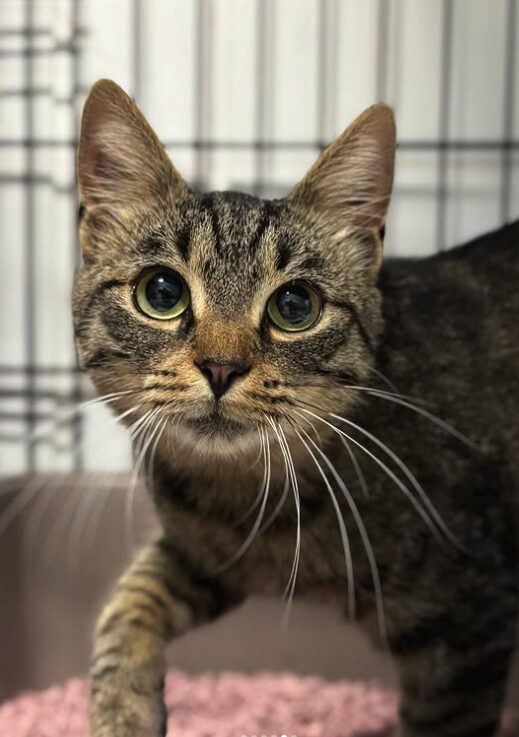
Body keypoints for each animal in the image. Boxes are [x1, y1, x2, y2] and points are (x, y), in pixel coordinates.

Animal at [75, 77, 516, 732]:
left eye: (295, 307)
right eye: (161, 292)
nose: (221, 366)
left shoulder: (467, 633)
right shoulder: (206, 556)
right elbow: (126, 602)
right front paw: (122, 708)